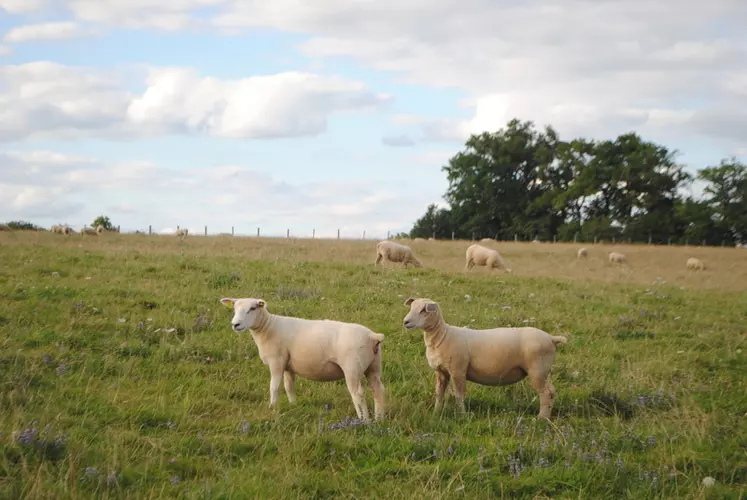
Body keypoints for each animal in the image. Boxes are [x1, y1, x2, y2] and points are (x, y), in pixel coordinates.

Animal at [219, 296, 388, 422]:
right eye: (234, 309)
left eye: (252, 308)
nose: (235, 324)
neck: (268, 327)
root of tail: (372, 336)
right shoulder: (288, 365)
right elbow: (289, 386)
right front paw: (293, 405)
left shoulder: (276, 361)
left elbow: (274, 387)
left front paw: (272, 408)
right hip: (373, 367)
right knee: (378, 389)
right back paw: (379, 419)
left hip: (352, 367)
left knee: (358, 393)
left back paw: (364, 420)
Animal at [404, 294, 568, 420]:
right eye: (411, 308)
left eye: (424, 310)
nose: (405, 322)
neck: (442, 336)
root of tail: (551, 338)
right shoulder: (441, 371)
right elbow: (439, 394)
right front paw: (436, 413)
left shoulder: (458, 370)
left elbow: (459, 395)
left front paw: (462, 415)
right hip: (544, 371)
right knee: (552, 392)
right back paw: (546, 416)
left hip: (537, 370)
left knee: (546, 394)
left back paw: (541, 418)